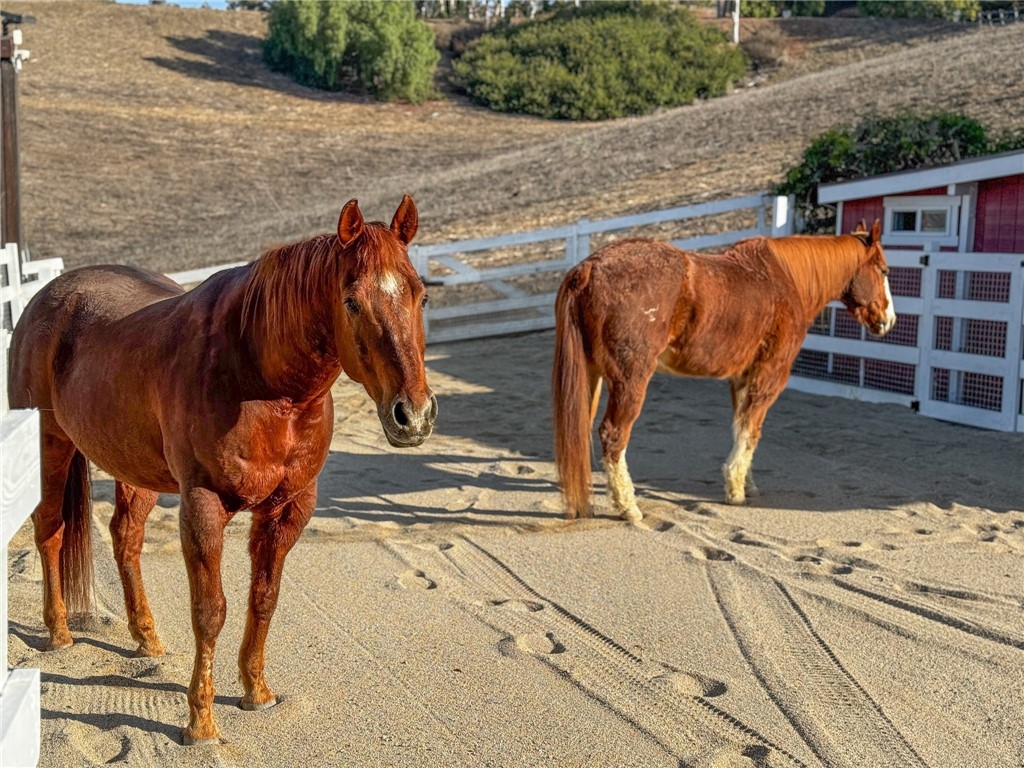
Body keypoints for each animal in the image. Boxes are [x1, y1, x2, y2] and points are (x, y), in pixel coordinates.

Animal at [7, 196, 437, 745]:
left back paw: (147, 638)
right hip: (50, 446)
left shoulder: (289, 508)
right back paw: (58, 632)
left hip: (134, 467)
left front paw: (256, 692)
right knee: (51, 530)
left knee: (125, 537)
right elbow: (211, 612)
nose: (414, 415)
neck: (259, 374)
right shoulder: (204, 505)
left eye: (420, 296)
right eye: (352, 301)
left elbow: (264, 599)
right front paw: (201, 721)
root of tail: (43, 301)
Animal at [552, 219, 895, 521]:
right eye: (884, 269)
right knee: (613, 435)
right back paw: (628, 508)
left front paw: (745, 482)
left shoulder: (741, 378)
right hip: (629, 381)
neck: (785, 281)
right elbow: (752, 429)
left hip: (591, 376)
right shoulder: (769, 375)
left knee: (581, 431)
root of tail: (589, 268)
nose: (887, 320)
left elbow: (741, 425)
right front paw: (735, 489)